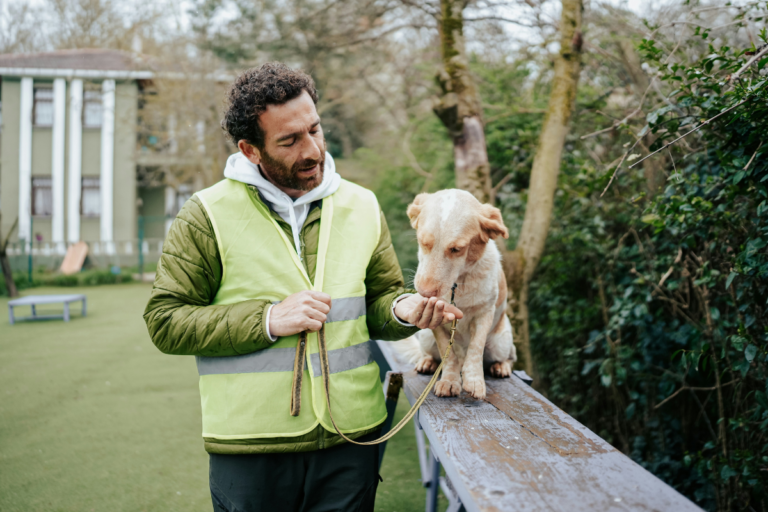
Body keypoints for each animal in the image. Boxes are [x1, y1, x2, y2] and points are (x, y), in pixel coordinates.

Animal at [396, 188, 516, 400]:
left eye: (456, 249)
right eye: (422, 242)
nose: (425, 293)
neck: (457, 286)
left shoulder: (484, 314)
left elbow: (475, 349)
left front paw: (474, 381)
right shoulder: (436, 323)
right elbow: (448, 355)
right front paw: (450, 381)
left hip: (501, 341)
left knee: (510, 356)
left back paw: (501, 366)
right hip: (426, 338)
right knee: (435, 355)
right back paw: (427, 362)